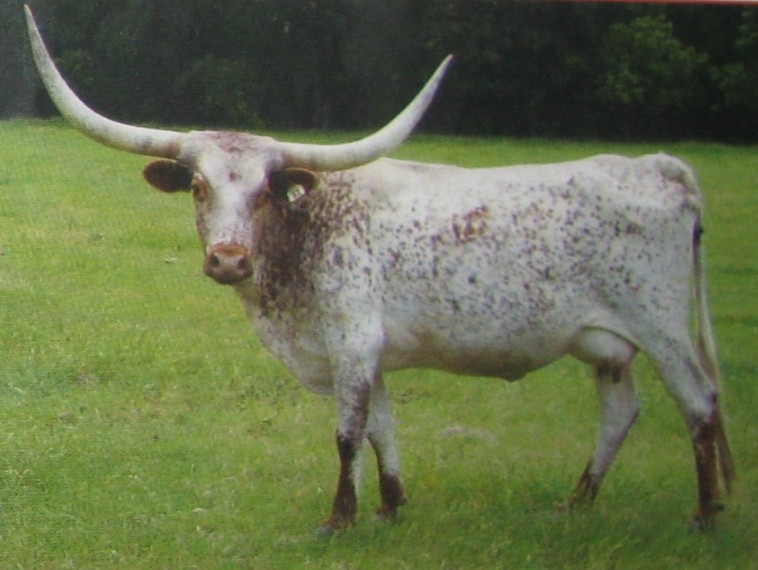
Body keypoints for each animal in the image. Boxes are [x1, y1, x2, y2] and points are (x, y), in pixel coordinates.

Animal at [26, 6, 734, 533]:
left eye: (264, 191)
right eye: (199, 187)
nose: (228, 259)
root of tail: (661, 167)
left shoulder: (353, 340)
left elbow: (348, 433)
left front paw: (339, 519)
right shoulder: (372, 353)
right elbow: (381, 429)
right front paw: (392, 508)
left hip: (662, 325)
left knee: (698, 403)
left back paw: (704, 514)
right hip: (605, 343)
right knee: (621, 411)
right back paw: (577, 501)